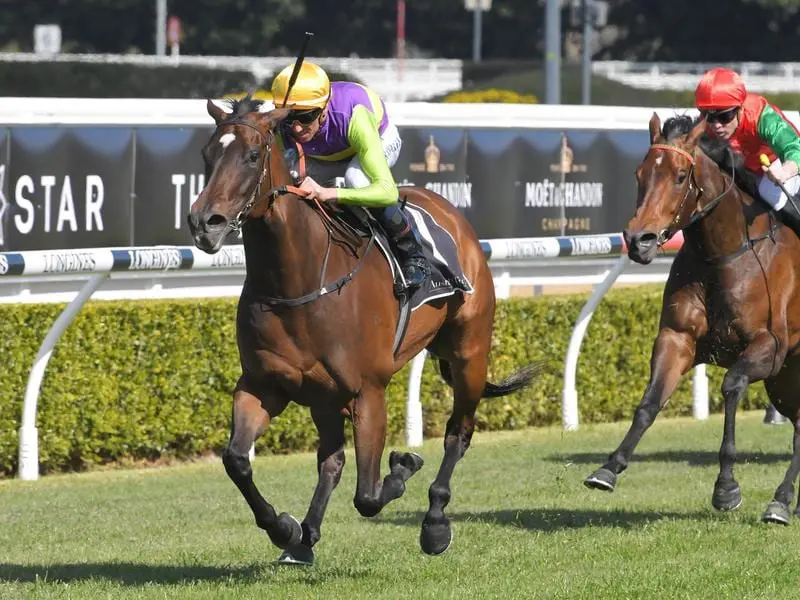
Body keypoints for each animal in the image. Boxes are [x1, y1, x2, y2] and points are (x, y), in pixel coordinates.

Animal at [184, 98, 540, 564]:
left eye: (252, 155)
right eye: (206, 155)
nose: (204, 222)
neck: (298, 281)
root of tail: (451, 214)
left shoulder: (368, 391)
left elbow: (368, 496)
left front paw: (404, 467)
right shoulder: (263, 385)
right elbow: (236, 460)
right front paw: (284, 528)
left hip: (469, 354)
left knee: (457, 435)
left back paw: (435, 522)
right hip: (324, 396)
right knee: (331, 460)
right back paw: (305, 538)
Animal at [584, 113, 800, 524]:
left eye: (681, 176)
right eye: (639, 174)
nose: (639, 240)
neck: (724, 254)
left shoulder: (769, 347)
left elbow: (731, 386)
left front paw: (726, 488)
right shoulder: (677, 337)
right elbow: (649, 403)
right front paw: (608, 468)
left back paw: (779, 502)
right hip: (784, 382)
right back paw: (786, 500)